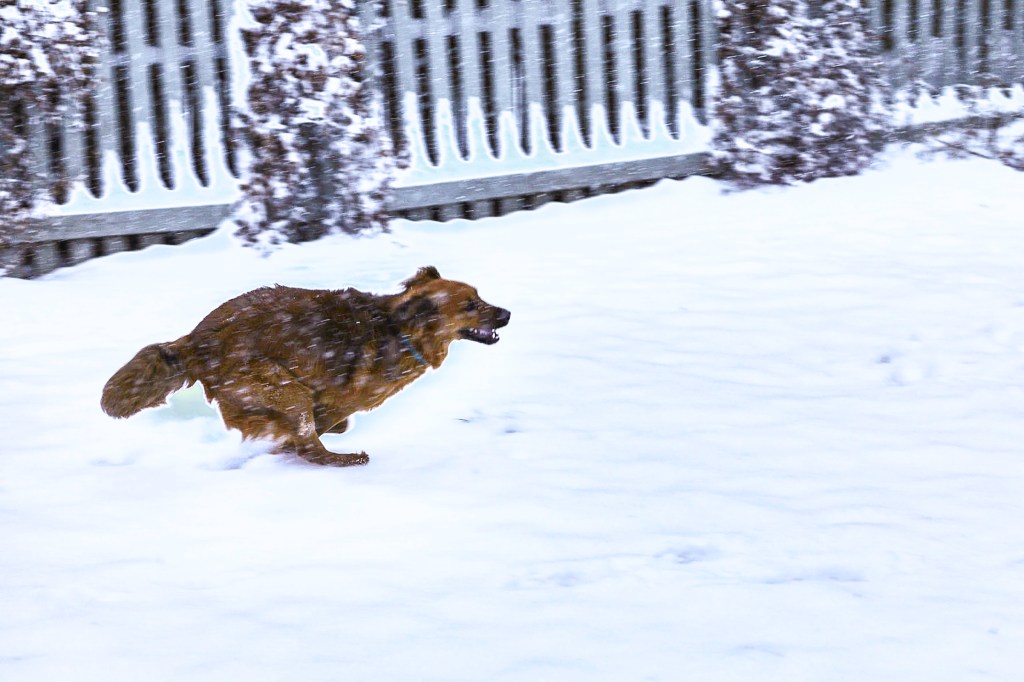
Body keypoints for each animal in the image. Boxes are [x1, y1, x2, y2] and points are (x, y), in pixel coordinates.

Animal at [99, 264, 507, 462]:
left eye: (479, 297)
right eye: (470, 305)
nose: (507, 314)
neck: (402, 330)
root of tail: (195, 341)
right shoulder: (330, 400)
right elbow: (314, 430)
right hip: (285, 387)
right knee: (311, 447)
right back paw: (341, 458)